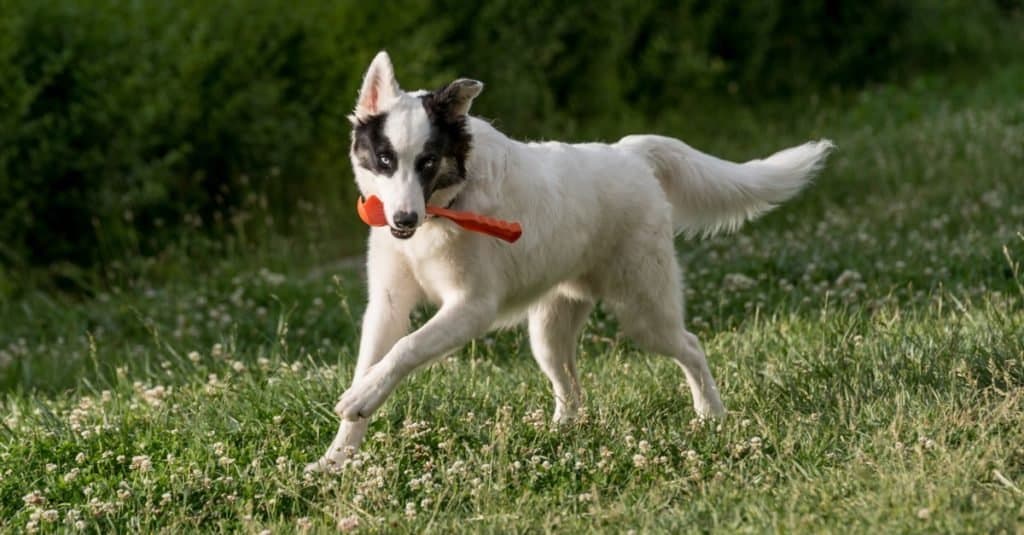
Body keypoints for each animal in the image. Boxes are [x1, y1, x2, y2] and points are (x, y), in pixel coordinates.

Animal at [305, 50, 831, 471]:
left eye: (429, 162)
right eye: (385, 160)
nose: (403, 219)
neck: (445, 207)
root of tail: (630, 153)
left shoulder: (471, 308)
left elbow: (406, 349)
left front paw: (359, 400)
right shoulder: (387, 306)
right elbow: (377, 360)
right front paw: (337, 456)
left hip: (644, 312)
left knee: (692, 346)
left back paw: (711, 415)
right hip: (549, 332)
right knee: (572, 391)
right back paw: (557, 435)